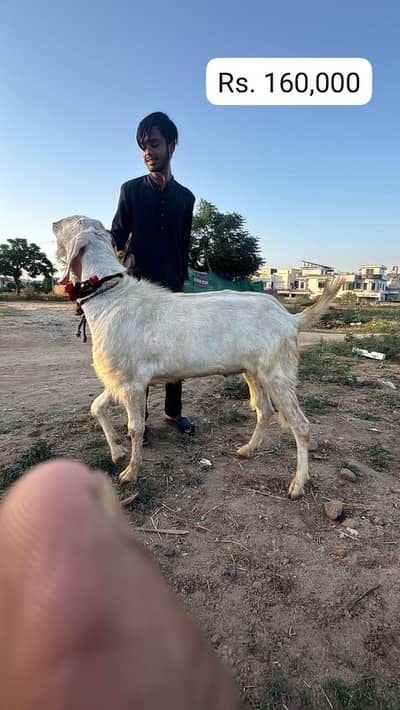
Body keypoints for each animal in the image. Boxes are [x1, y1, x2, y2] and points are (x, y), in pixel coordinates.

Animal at [53, 215, 343, 498]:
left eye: (76, 221)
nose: (55, 224)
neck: (111, 296)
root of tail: (290, 318)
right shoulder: (118, 380)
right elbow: (97, 407)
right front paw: (117, 452)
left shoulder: (132, 383)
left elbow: (135, 428)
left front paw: (130, 472)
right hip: (253, 372)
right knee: (265, 411)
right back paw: (248, 449)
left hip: (277, 374)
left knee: (301, 426)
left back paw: (298, 484)